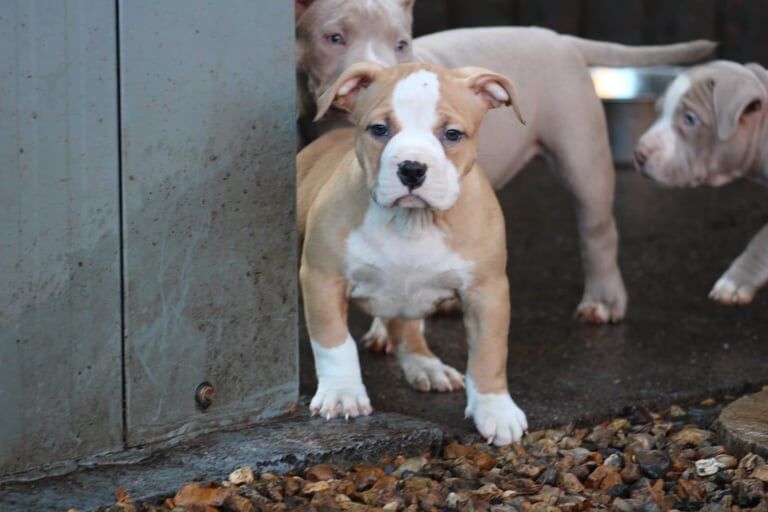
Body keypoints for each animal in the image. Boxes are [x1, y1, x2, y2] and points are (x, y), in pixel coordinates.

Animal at [298, 60, 528, 444]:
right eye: (379, 129)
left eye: (452, 134)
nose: (412, 168)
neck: (413, 222)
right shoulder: (321, 276)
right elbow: (333, 342)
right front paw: (342, 393)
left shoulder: (487, 290)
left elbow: (489, 352)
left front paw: (495, 410)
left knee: (406, 329)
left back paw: (426, 365)